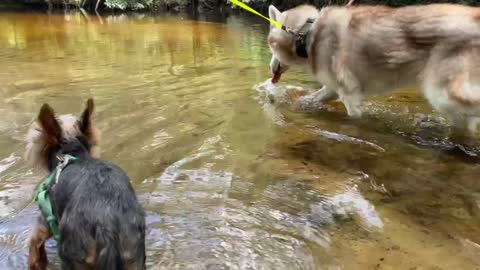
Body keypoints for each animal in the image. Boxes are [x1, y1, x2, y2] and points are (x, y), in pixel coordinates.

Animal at [25, 99, 145, 270]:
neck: (73, 155)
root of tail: (106, 226)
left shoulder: (46, 218)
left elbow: (34, 243)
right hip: (133, 256)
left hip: (73, 257)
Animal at [268, 3, 480, 134]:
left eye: (270, 46)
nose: (271, 68)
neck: (307, 34)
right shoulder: (332, 89)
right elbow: (310, 99)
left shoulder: (350, 93)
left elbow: (354, 116)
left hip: (441, 94)